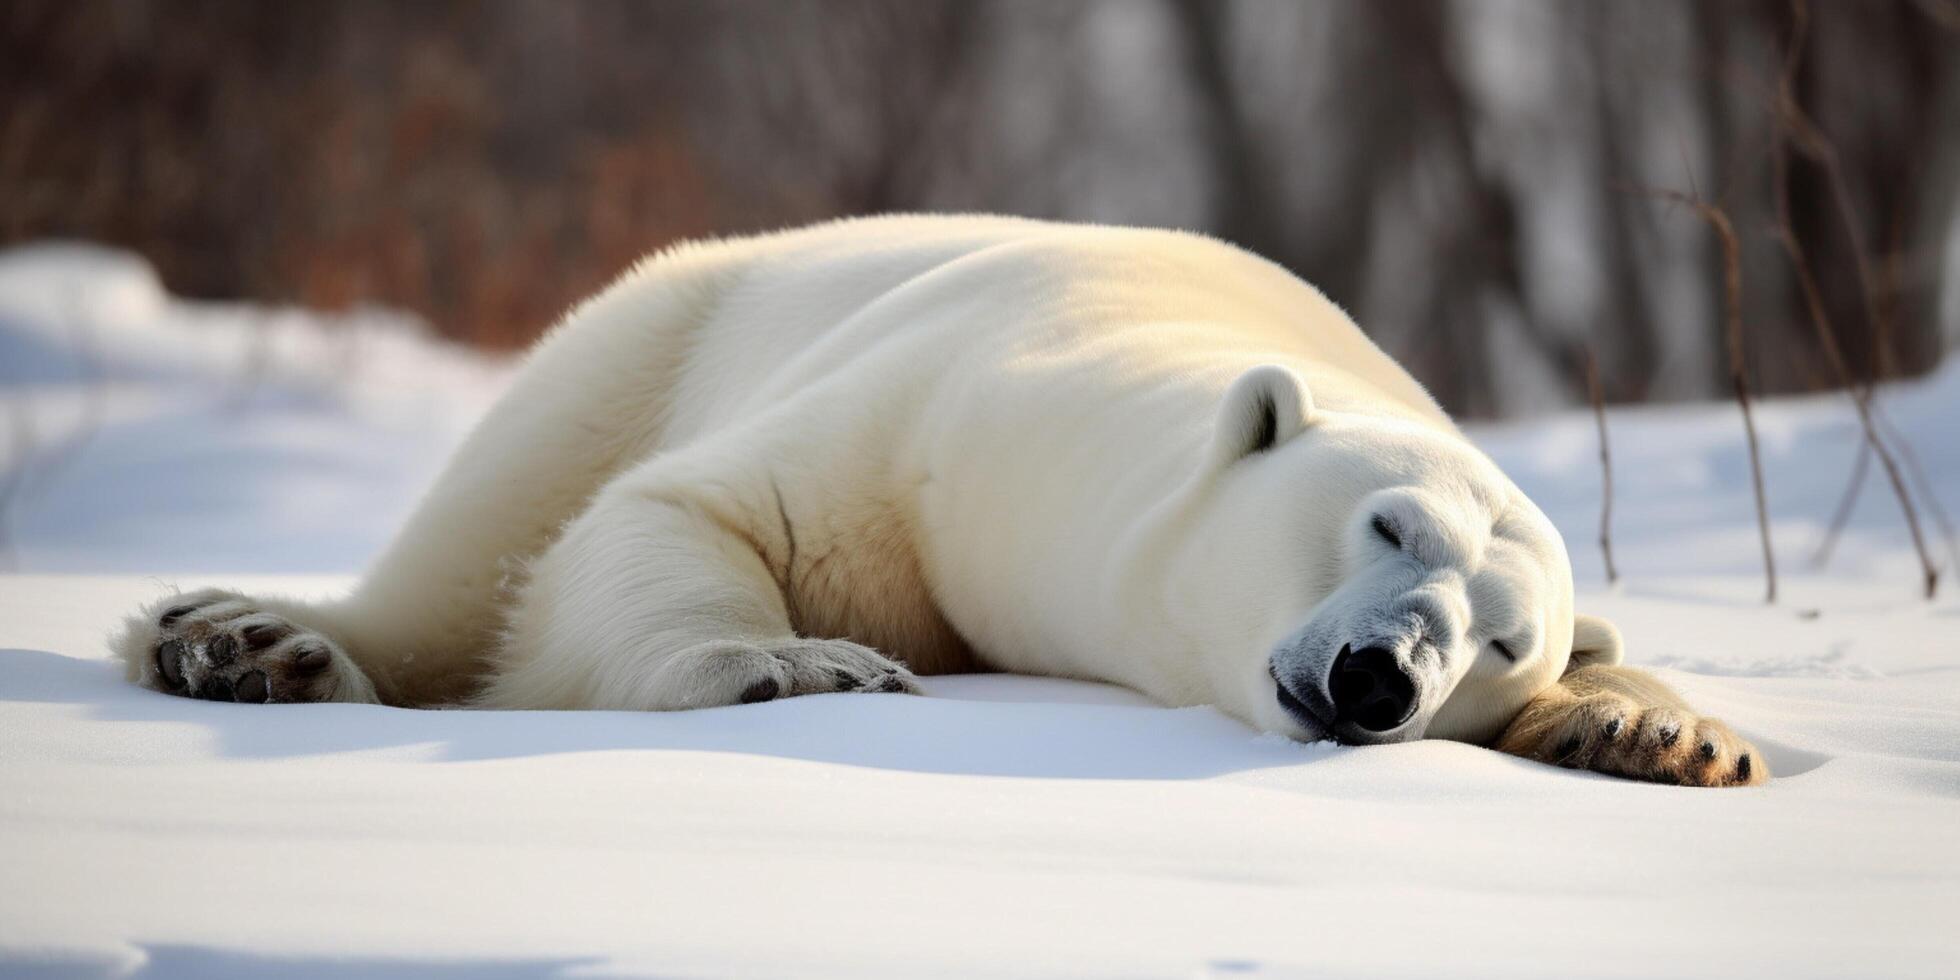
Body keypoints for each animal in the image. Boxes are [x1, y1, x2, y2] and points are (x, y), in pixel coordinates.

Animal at [111, 214, 1764, 787]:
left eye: (1503, 643)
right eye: (1389, 525)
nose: (1381, 676)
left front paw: (1660, 736)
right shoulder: (951, 416)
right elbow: (689, 518)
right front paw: (804, 667)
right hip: (653, 326)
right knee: (486, 536)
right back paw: (248, 642)